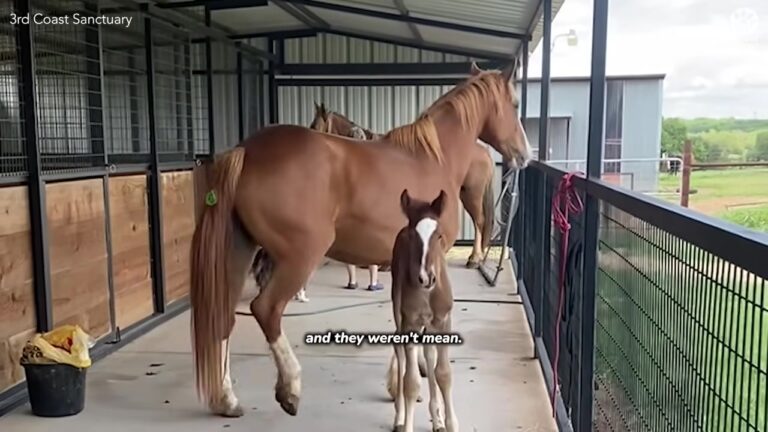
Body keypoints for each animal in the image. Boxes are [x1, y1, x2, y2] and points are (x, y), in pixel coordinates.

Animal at [390, 188, 457, 432]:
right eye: (413, 236)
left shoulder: (443, 320)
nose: (426, 278)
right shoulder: (410, 322)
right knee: (399, 351)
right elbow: (411, 382)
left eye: (438, 235)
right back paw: (399, 417)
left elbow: (443, 374)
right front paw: (405, 423)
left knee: (429, 355)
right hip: (398, 311)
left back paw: (437, 419)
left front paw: (449, 423)